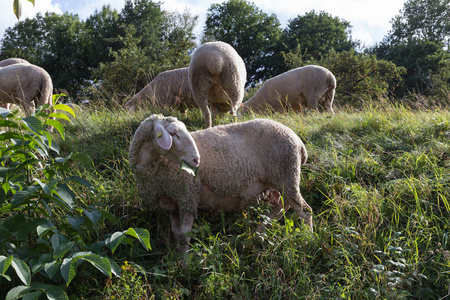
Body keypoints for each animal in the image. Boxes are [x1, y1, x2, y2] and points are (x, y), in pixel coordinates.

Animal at [128, 113, 312, 254]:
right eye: (173, 133)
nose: (197, 160)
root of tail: (298, 141)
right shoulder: (174, 201)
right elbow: (177, 234)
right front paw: (178, 259)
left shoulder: (188, 195)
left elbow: (184, 236)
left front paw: (186, 266)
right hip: (273, 182)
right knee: (281, 206)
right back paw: (256, 233)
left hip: (287, 175)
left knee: (304, 211)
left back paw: (308, 239)